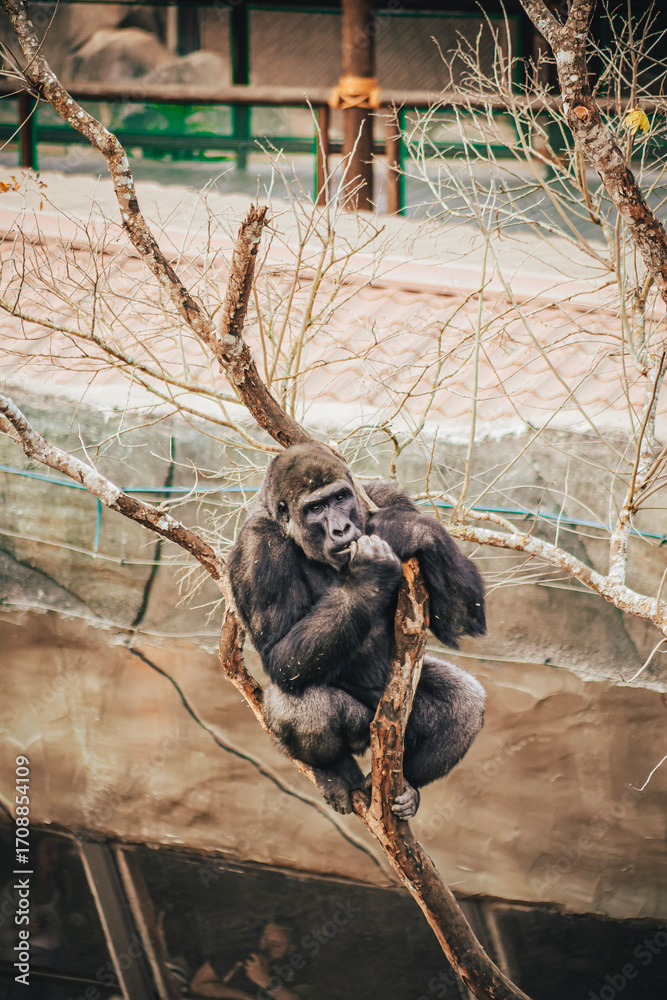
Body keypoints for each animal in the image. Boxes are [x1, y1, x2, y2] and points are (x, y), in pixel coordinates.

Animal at [229, 443, 486, 818]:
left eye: (340, 497)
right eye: (316, 508)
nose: (341, 528)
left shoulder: (383, 496)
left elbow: (457, 617)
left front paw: (408, 528)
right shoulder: (257, 547)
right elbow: (281, 654)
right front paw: (370, 571)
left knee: (465, 702)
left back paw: (409, 784)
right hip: (363, 724)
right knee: (298, 702)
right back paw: (335, 772)